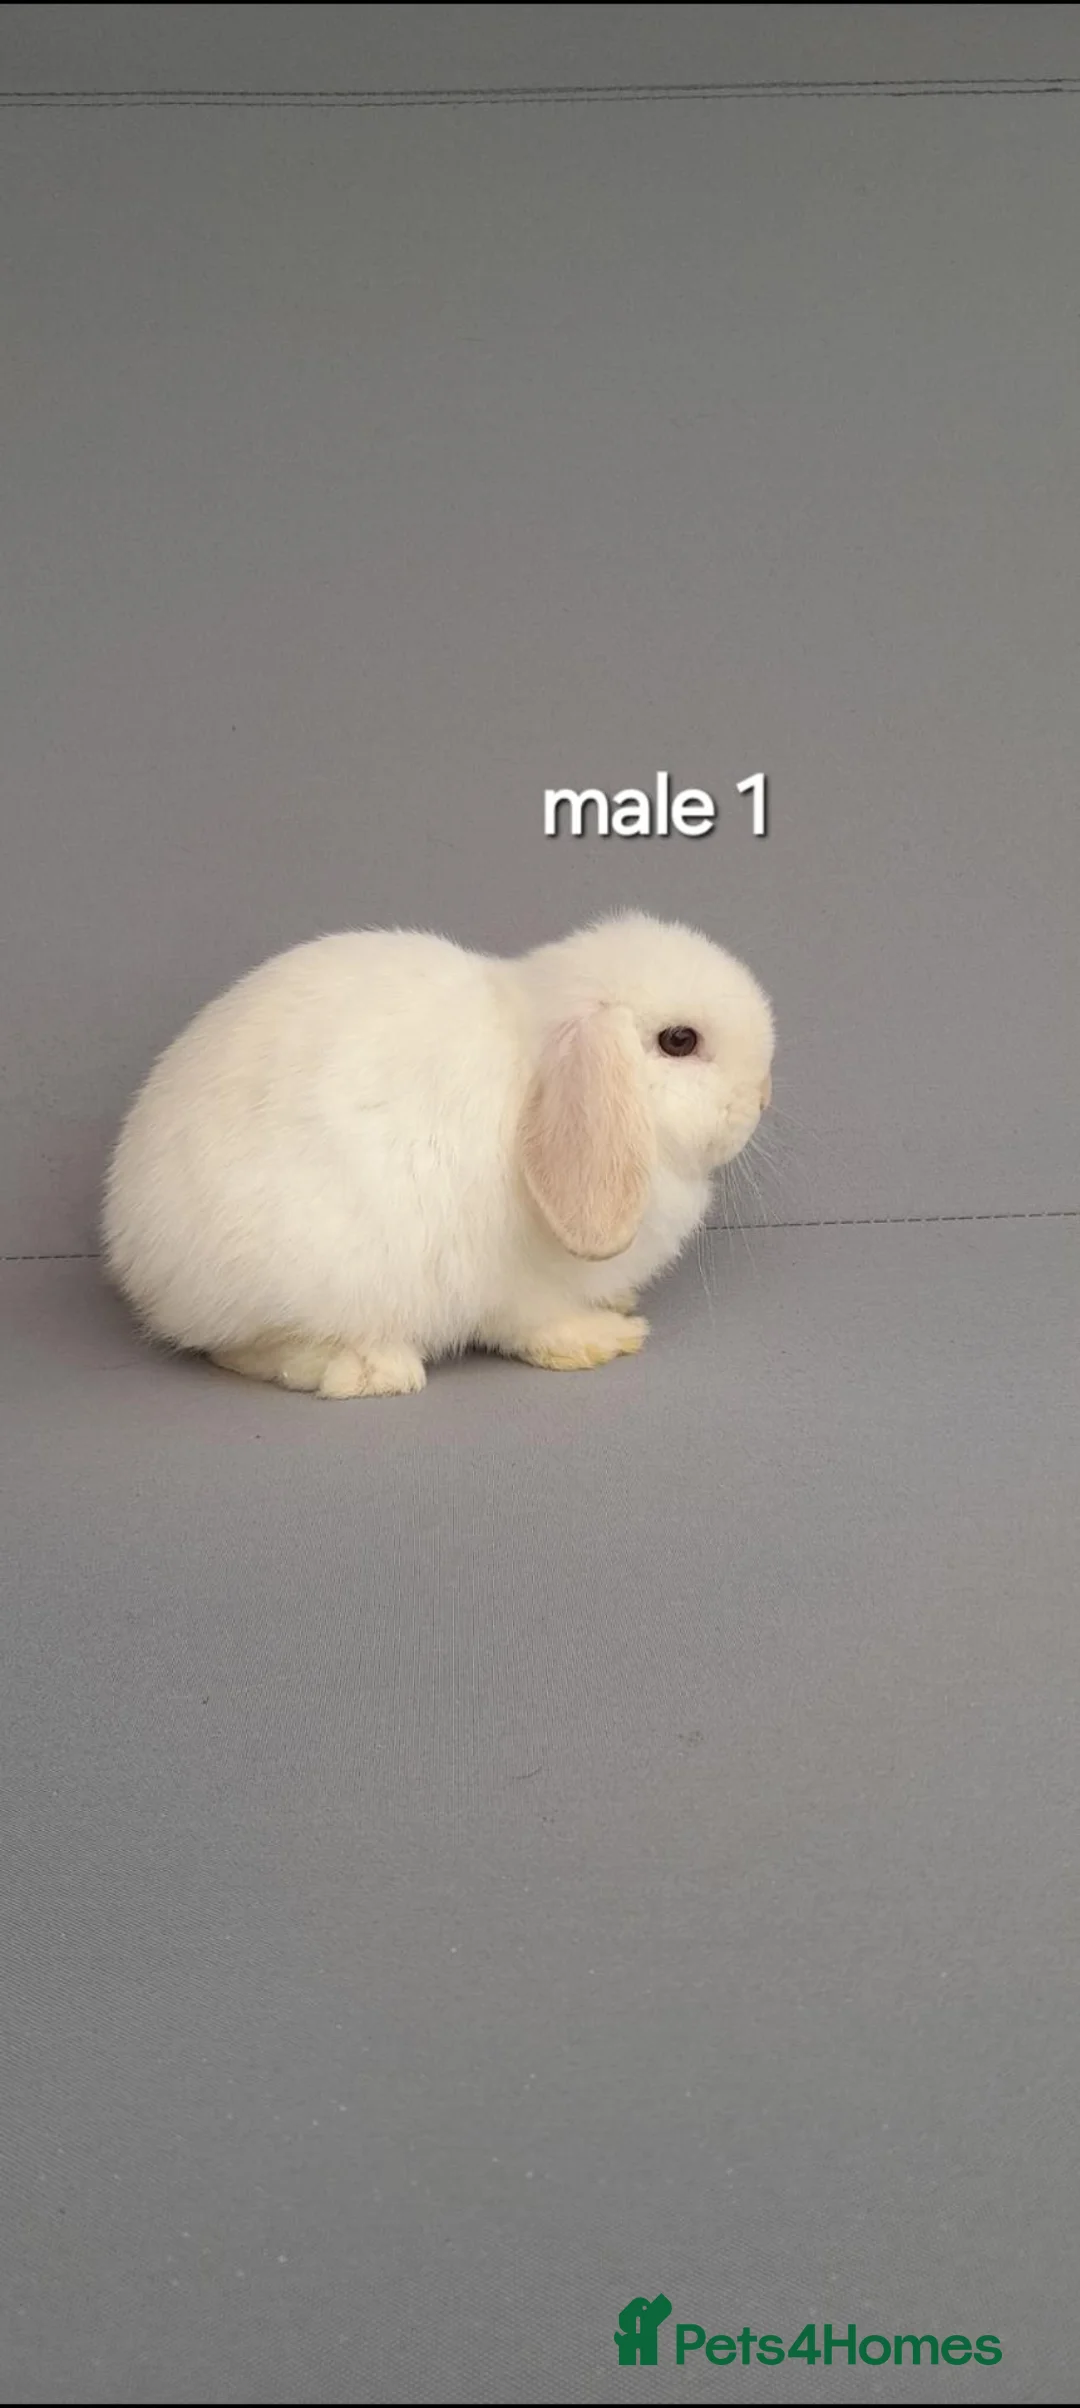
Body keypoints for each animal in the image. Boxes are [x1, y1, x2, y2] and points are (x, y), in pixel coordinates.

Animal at [102, 911, 774, 1396]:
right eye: (679, 1040)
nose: (763, 1096)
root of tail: (136, 1254)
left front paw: (617, 1304)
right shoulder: (522, 1286)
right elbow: (538, 1322)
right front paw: (602, 1339)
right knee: (252, 1350)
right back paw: (371, 1371)